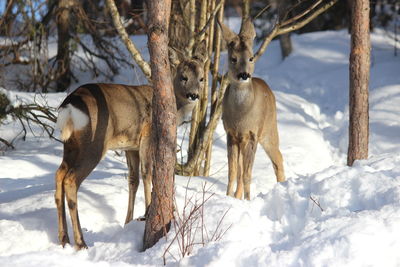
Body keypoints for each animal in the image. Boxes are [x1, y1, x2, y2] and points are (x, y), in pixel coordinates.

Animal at [54, 41, 206, 249]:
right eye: (184, 77)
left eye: (201, 78)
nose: (194, 95)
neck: (176, 109)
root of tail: (70, 105)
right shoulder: (148, 135)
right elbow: (147, 173)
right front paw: (148, 212)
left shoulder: (130, 147)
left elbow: (133, 180)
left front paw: (128, 221)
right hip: (94, 143)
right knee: (70, 179)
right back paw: (80, 242)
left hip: (70, 145)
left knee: (59, 174)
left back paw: (64, 239)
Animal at [219, 18, 284, 200]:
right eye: (233, 58)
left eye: (251, 57)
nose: (244, 75)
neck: (241, 115)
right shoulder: (231, 133)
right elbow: (233, 172)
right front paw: (228, 197)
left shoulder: (252, 133)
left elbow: (247, 174)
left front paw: (248, 200)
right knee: (241, 171)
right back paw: (237, 196)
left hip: (269, 128)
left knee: (278, 158)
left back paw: (282, 186)